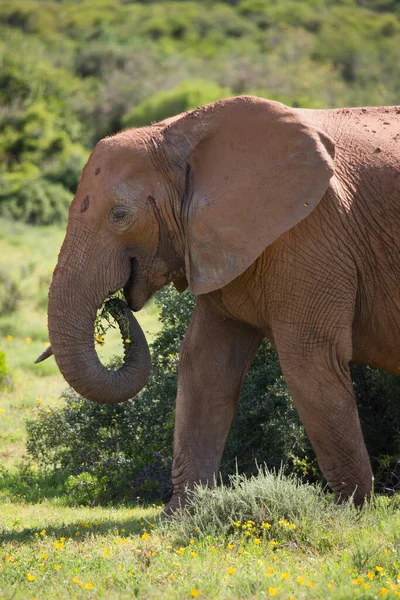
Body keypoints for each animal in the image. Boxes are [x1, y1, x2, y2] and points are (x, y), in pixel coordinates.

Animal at [38, 95, 400, 510]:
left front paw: (347, 511)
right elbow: (205, 363)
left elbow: (310, 361)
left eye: (120, 216)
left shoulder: (312, 232)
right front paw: (180, 515)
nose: (117, 305)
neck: (176, 134)